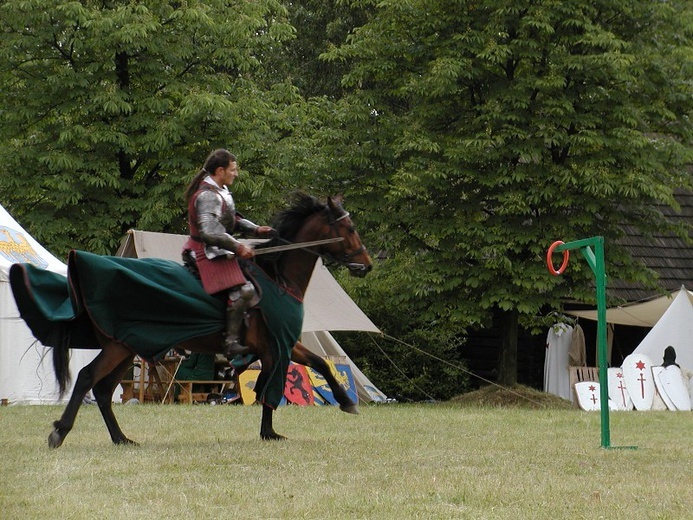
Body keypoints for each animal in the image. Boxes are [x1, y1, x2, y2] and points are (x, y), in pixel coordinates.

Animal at [8, 193, 370, 444]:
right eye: (350, 228)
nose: (365, 265)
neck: (278, 277)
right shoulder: (276, 347)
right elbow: (271, 389)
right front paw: (270, 433)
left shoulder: (285, 346)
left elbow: (320, 365)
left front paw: (344, 402)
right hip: (118, 348)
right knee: (86, 379)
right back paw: (61, 432)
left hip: (125, 348)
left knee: (103, 390)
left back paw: (121, 438)